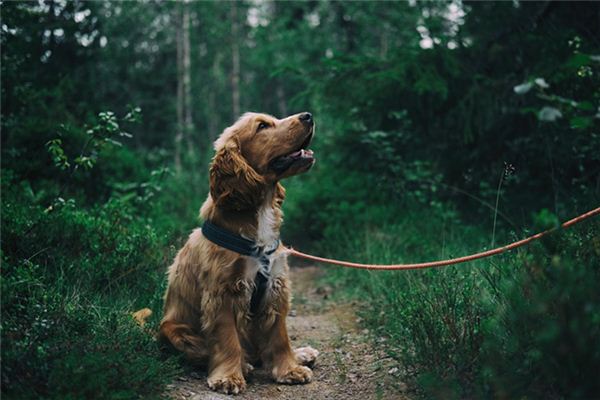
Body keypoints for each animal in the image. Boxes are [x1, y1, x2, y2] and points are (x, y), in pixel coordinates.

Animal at [159, 111, 318, 392]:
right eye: (263, 126)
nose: (308, 115)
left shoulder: (276, 286)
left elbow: (280, 336)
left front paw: (290, 369)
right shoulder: (223, 292)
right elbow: (227, 339)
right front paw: (229, 377)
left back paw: (301, 354)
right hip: (174, 330)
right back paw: (244, 365)